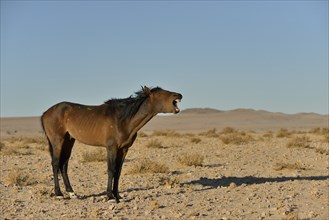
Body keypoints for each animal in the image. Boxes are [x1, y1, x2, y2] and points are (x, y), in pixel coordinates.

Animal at [41, 85, 182, 202]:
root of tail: (46, 112)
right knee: (55, 163)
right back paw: (59, 194)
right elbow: (111, 170)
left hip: (69, 141)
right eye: (160, 93)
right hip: (57, 140)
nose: (179, 95)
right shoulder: (111, 148)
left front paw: (117, 195)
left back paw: (72, 193)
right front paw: (109, 196)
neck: (122, 120)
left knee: (64, 164)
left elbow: (118, 172)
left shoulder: (124, 149)